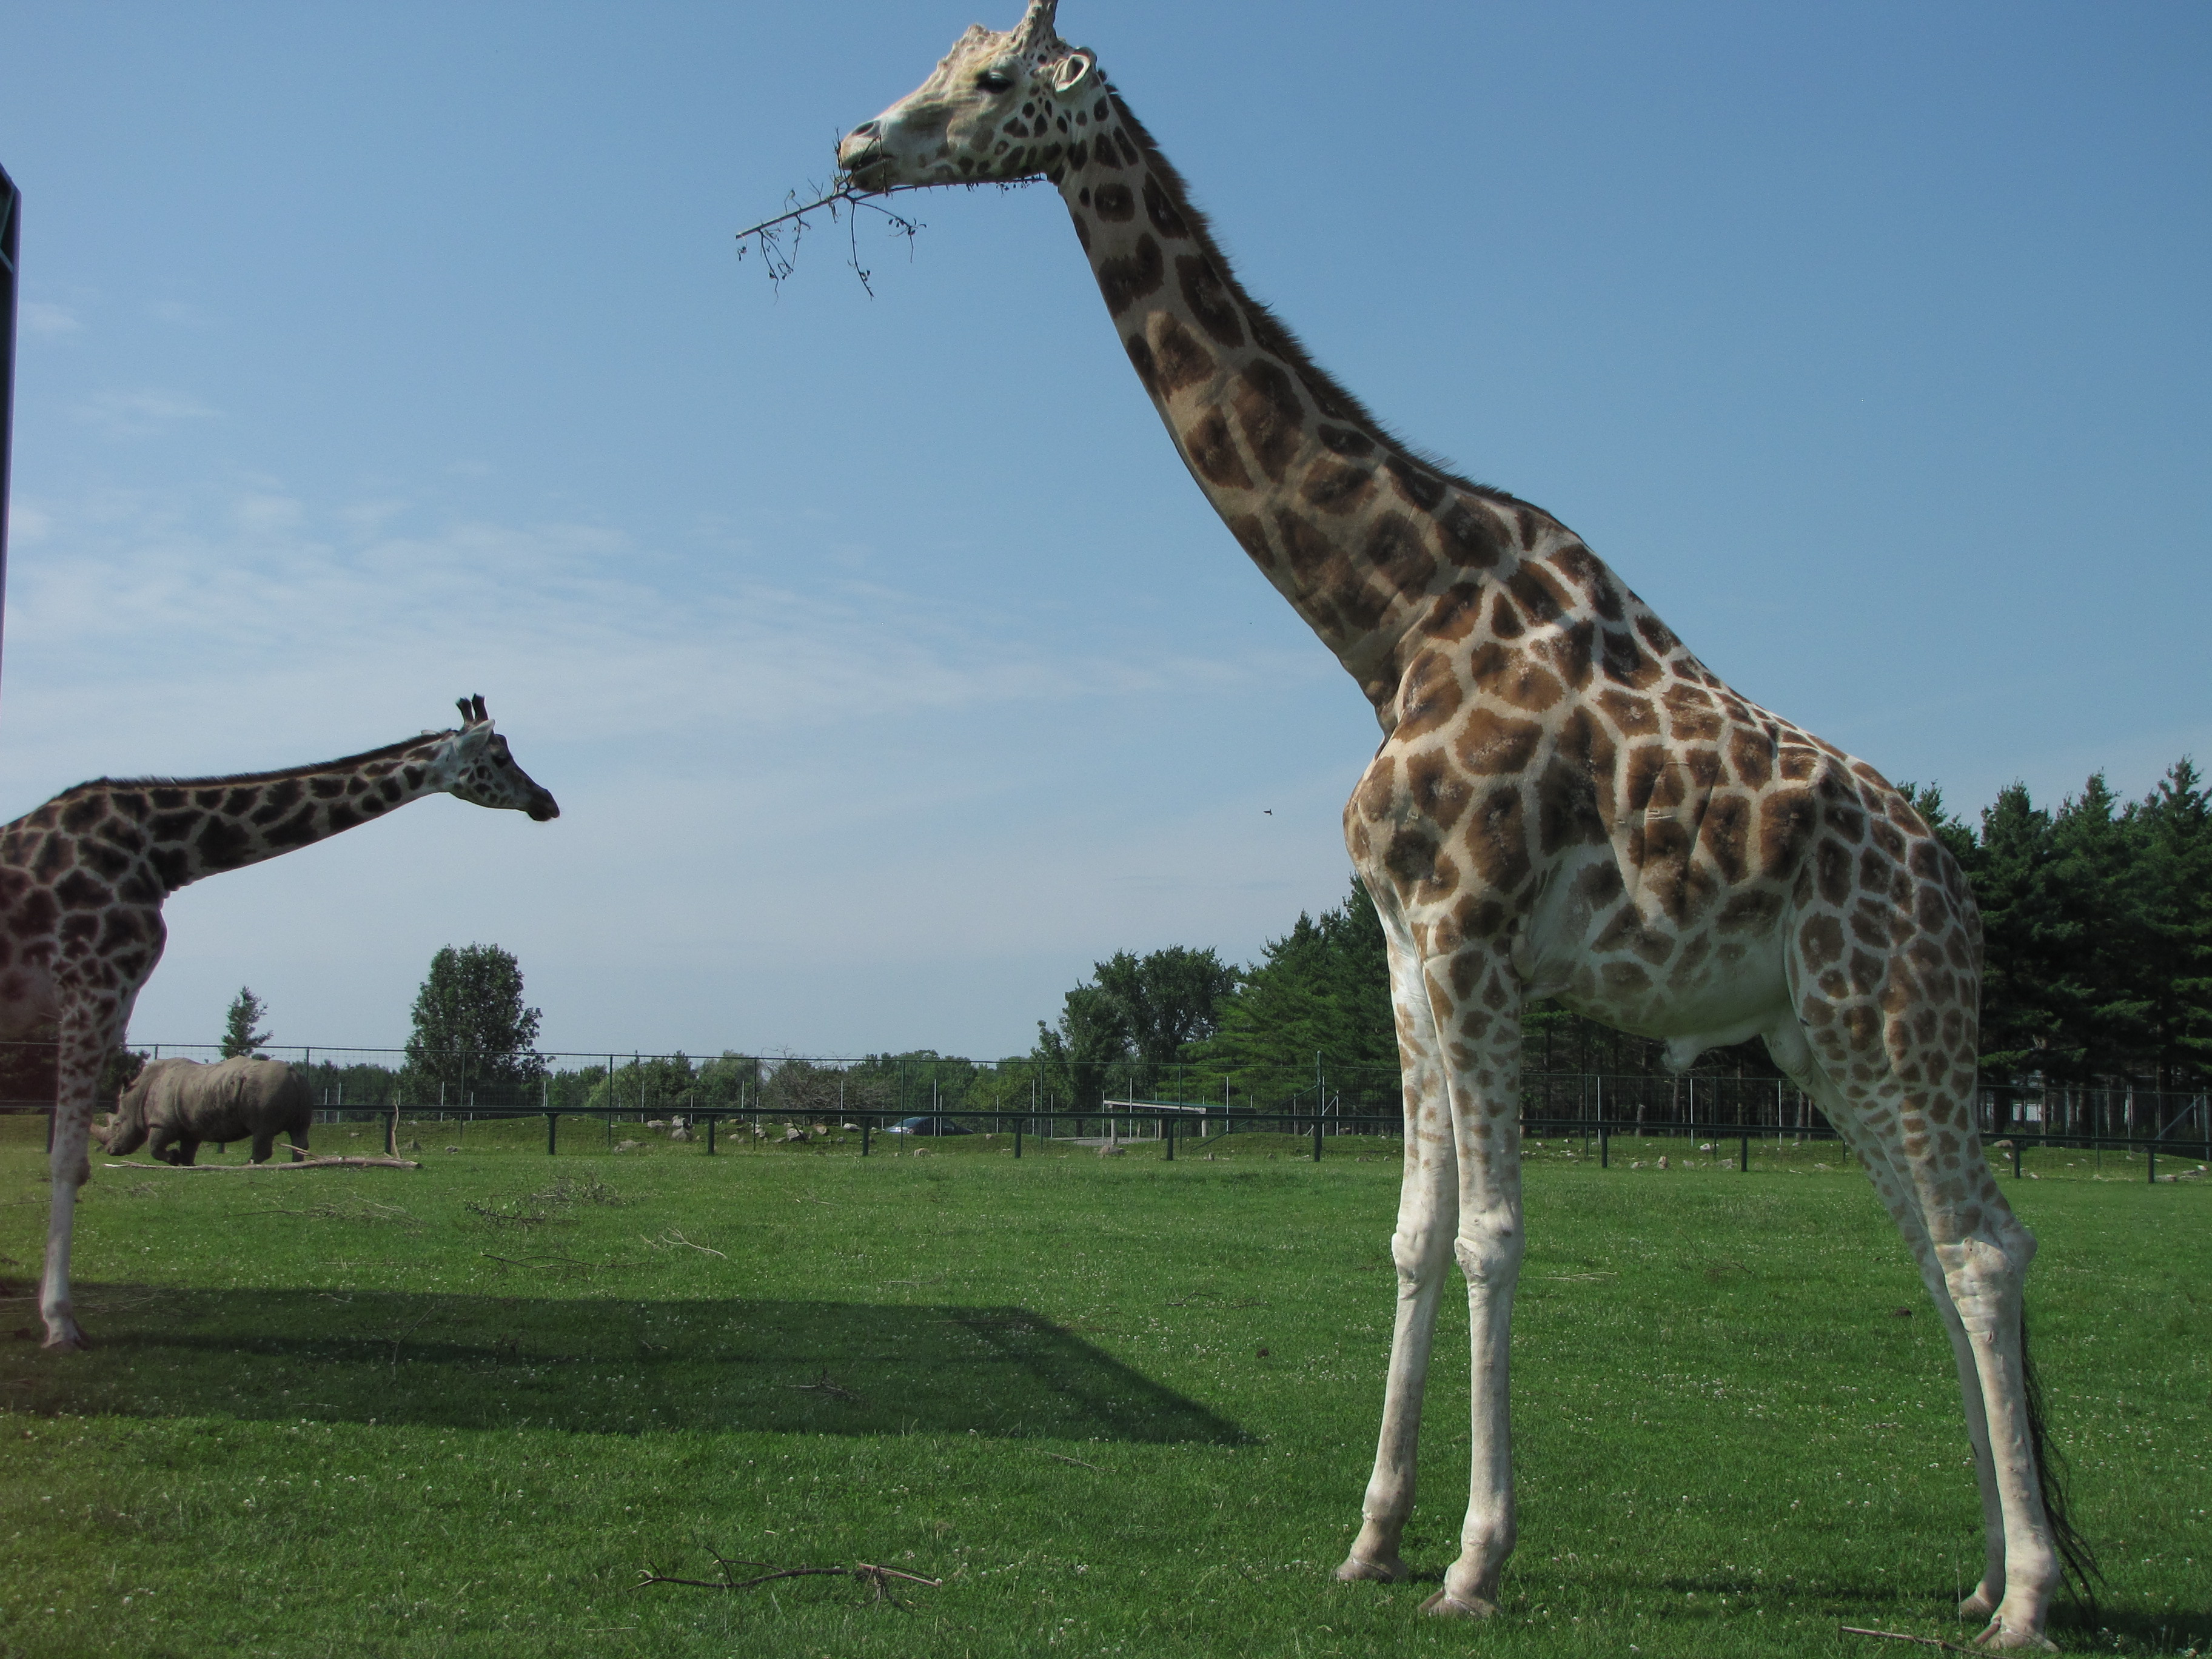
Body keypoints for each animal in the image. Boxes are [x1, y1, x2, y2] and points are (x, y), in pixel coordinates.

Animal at [0, 696, 557, 1351]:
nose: (547, 800)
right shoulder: (93, 984)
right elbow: (67, 1159)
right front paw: (61, 1321)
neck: (165, 850)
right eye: (500, 757)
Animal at [833, 5, 2088, 1648]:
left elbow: (1493, 1232)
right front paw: (1372, 1536)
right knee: (1940, 1249)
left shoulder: (1476, 931)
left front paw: (1474, 1559)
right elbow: (1415, 1231)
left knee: (1985, 1246)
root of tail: (1957, 883)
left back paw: (2030, 1592)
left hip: (1900, 1012)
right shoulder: (1401, 946)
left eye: (989, 81)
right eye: (938, 55)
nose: (859, 146)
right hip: (1825, 1036)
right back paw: (1985, 1567)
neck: (1392, 615)